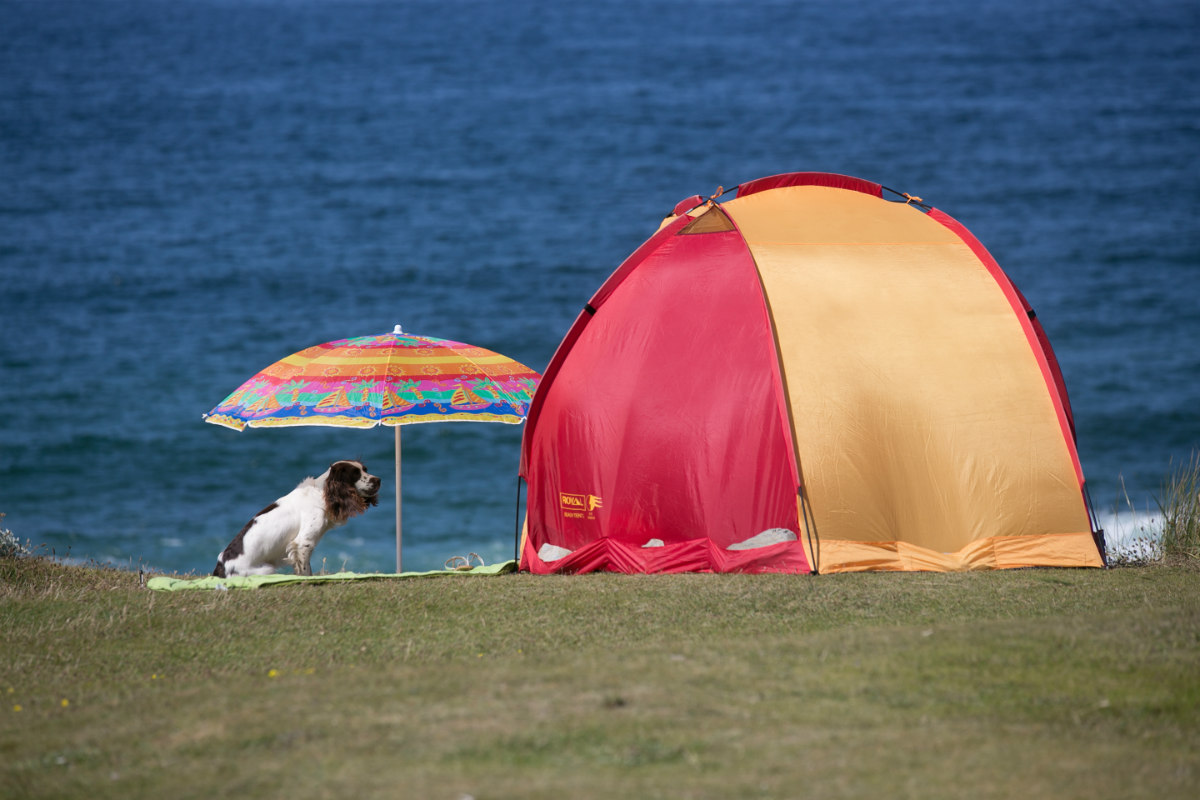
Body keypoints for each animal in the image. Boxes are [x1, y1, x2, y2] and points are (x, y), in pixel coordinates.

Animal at [213, 460, 381, 578]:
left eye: (365, 469)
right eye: (355, 474)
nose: (378, 479)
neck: (322, 492)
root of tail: (220, 567)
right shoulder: (303, 542)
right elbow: (305, 572)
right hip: (265, 570)